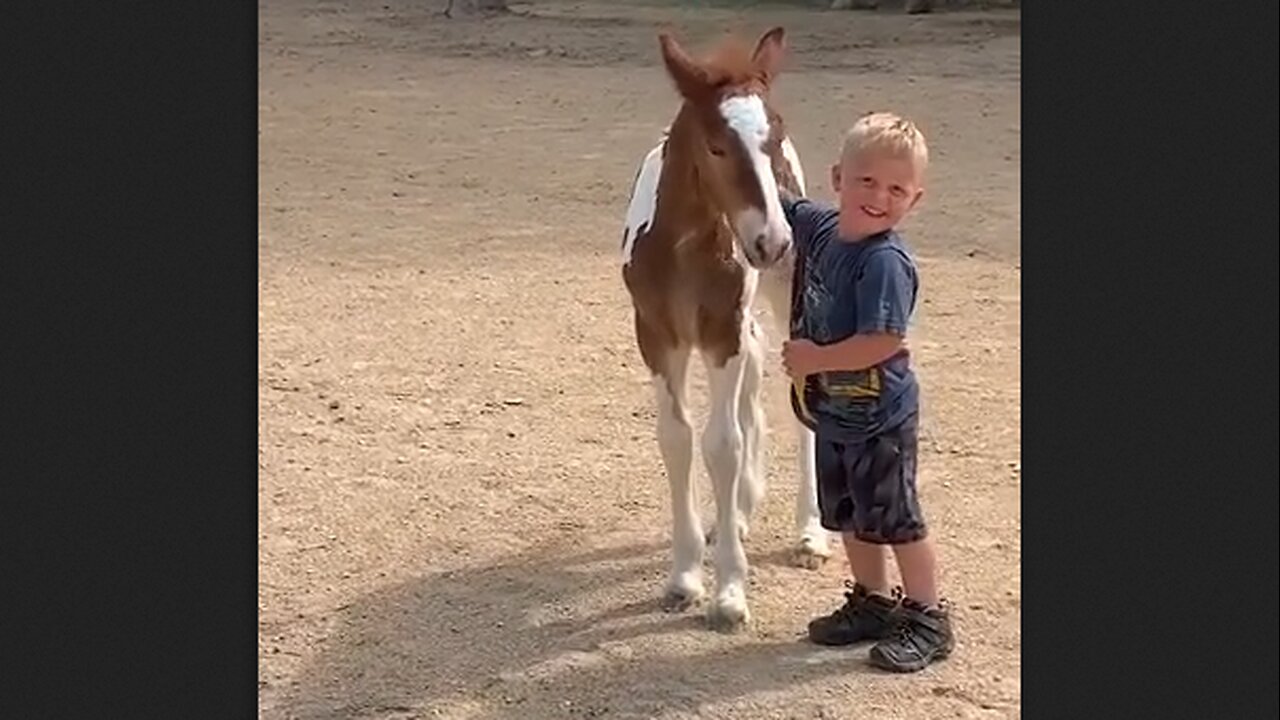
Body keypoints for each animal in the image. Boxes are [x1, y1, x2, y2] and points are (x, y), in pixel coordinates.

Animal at [619, 25, 829, 625]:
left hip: (785, 297)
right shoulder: (657, 335)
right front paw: (685, 575)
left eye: (774, 139)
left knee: (798, 397)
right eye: (715, 145)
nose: (773, 240)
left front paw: (731, 590)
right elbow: (677, 438)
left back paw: (810, 533)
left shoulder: (720, 333)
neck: (683, 249)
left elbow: (723, 444)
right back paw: (738, 512)